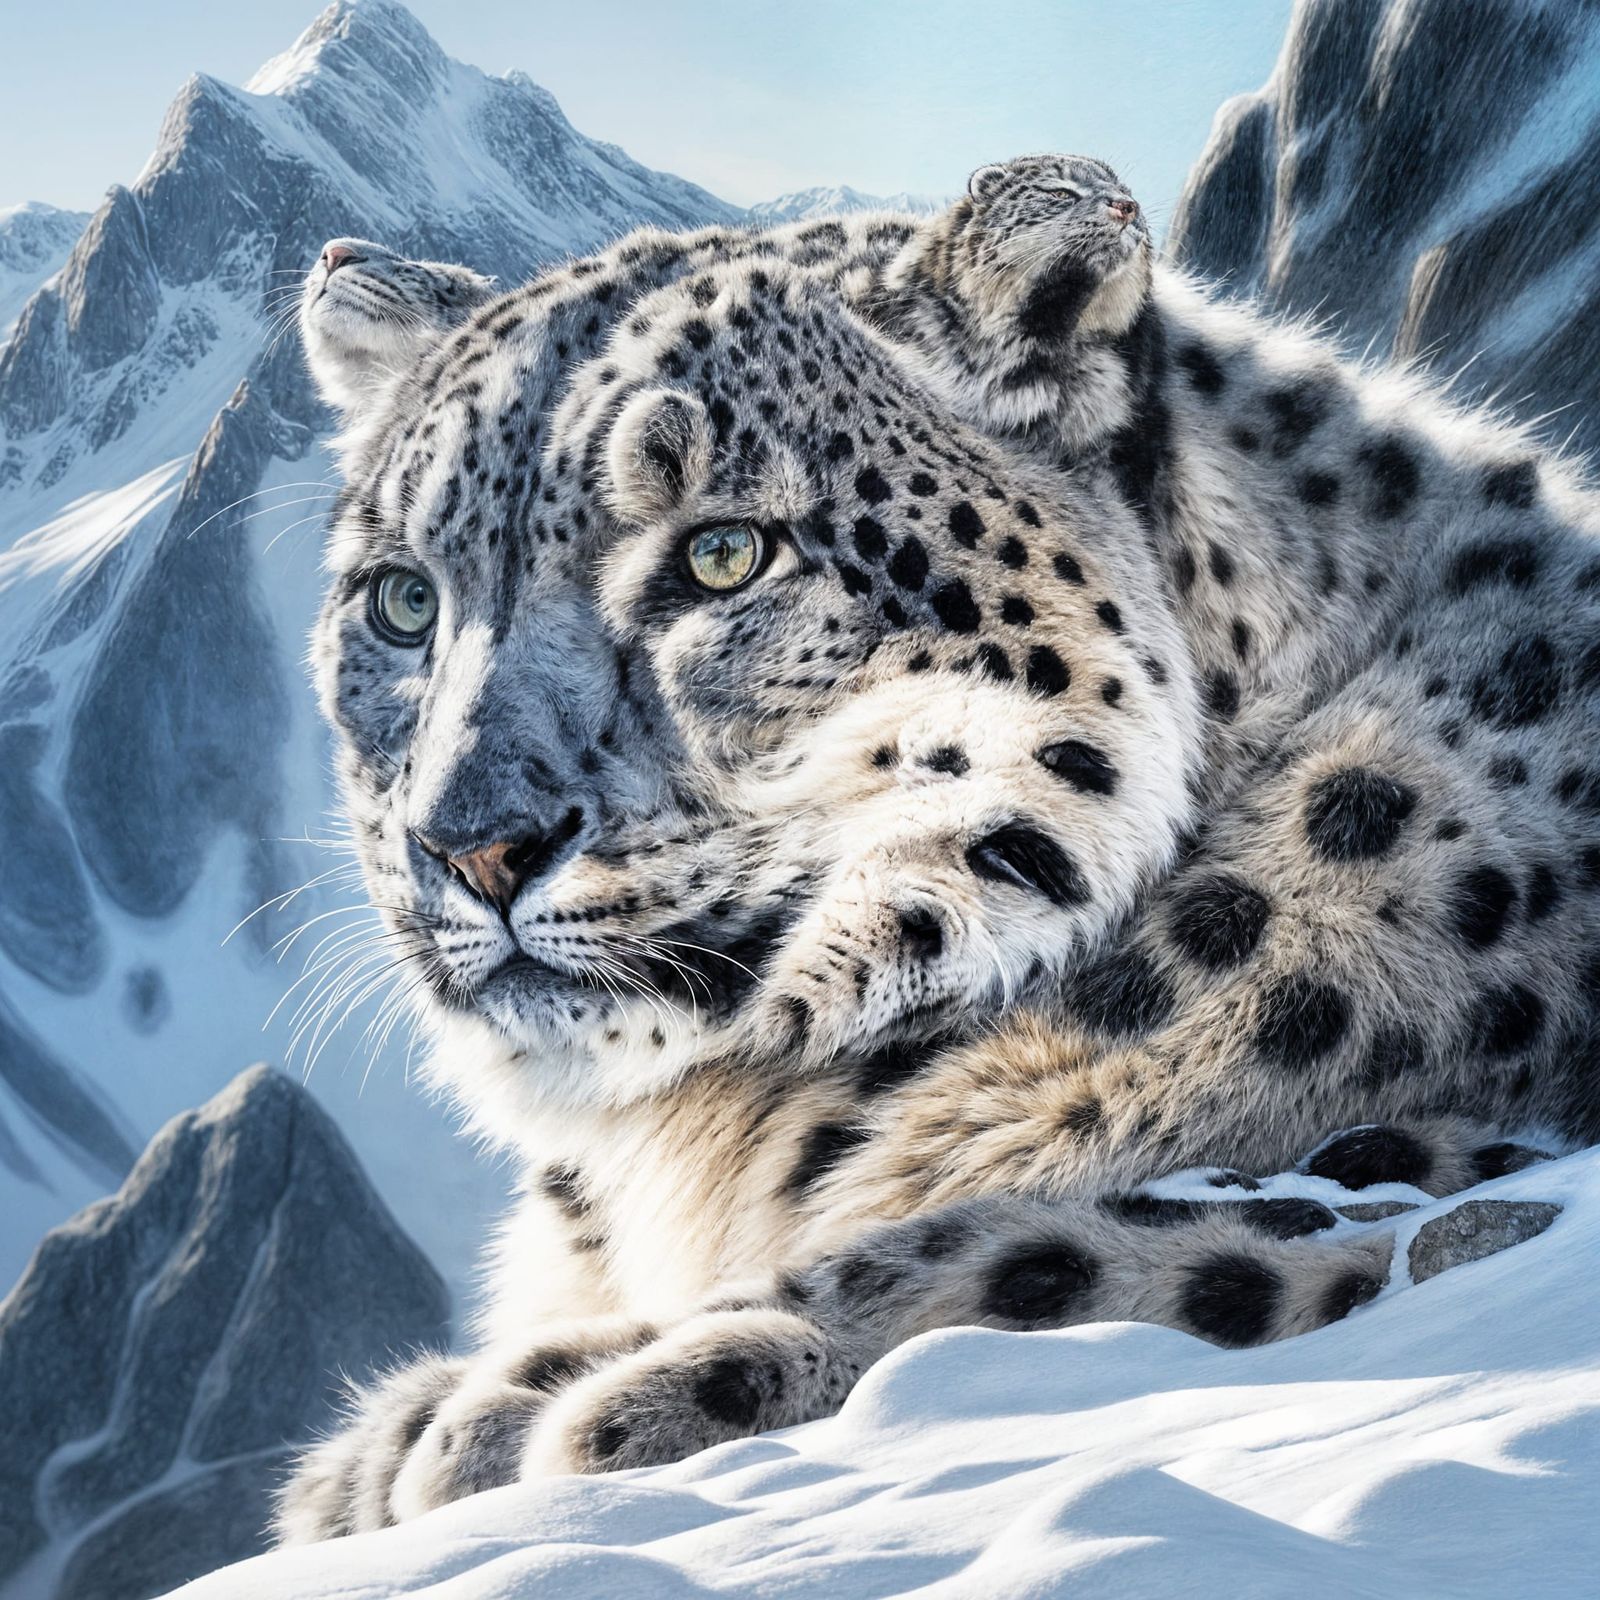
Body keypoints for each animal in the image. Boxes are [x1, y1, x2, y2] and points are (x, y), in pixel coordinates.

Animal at [274, 172, 1591, 1541]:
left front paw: (550, 1405)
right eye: (402, 600)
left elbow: (1107, 1245)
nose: (472, 844)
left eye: (724, 553)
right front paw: (409, 1441)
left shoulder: (1486, 1147)